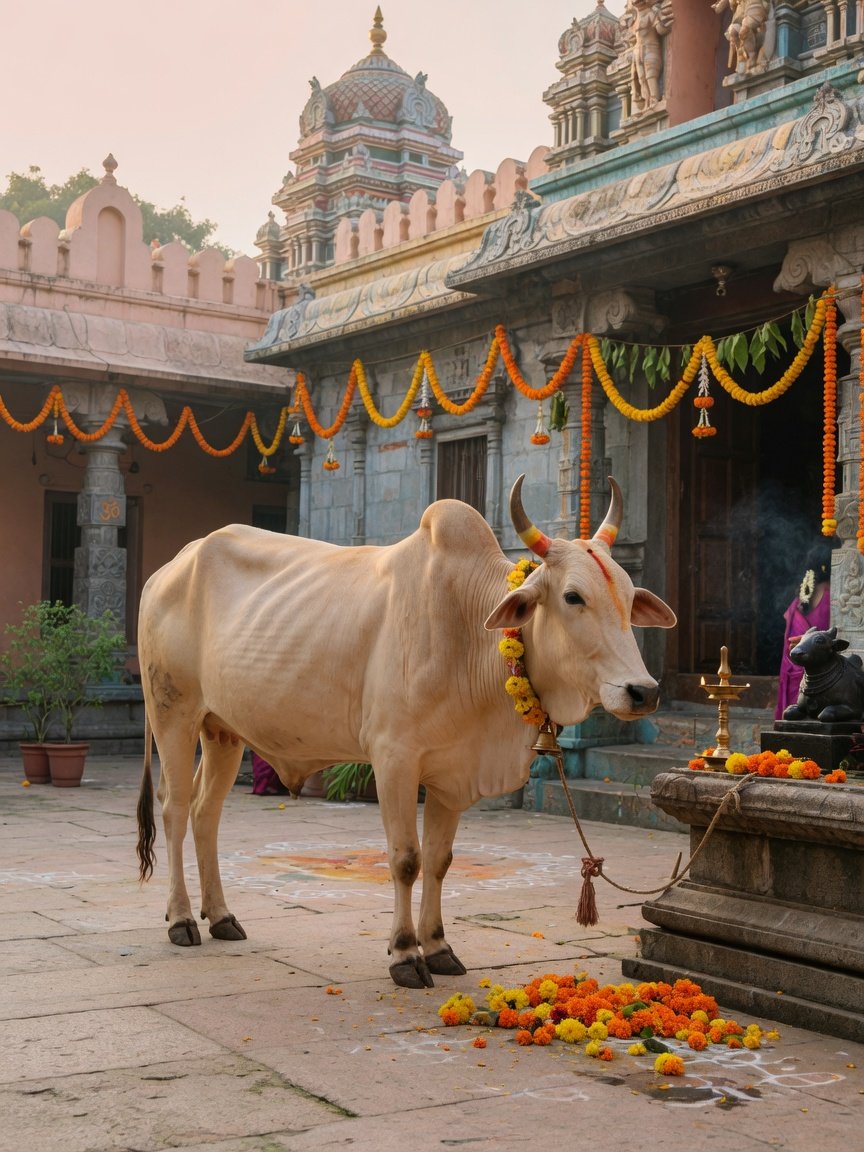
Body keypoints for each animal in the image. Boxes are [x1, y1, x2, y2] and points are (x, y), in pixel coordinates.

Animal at [136, 476, 676, 988]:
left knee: (206, 814)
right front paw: (404, 954)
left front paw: (437, 948)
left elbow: (439, 860)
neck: (468, 635)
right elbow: (405, 860)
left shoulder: (453, 772)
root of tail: (169, 568)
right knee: (175, 809)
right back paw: (181, 919)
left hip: (222, 731)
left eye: (629, 598)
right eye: (572, 596)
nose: (642, 691)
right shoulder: (394, 760)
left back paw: (221, 916)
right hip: (173, 714)